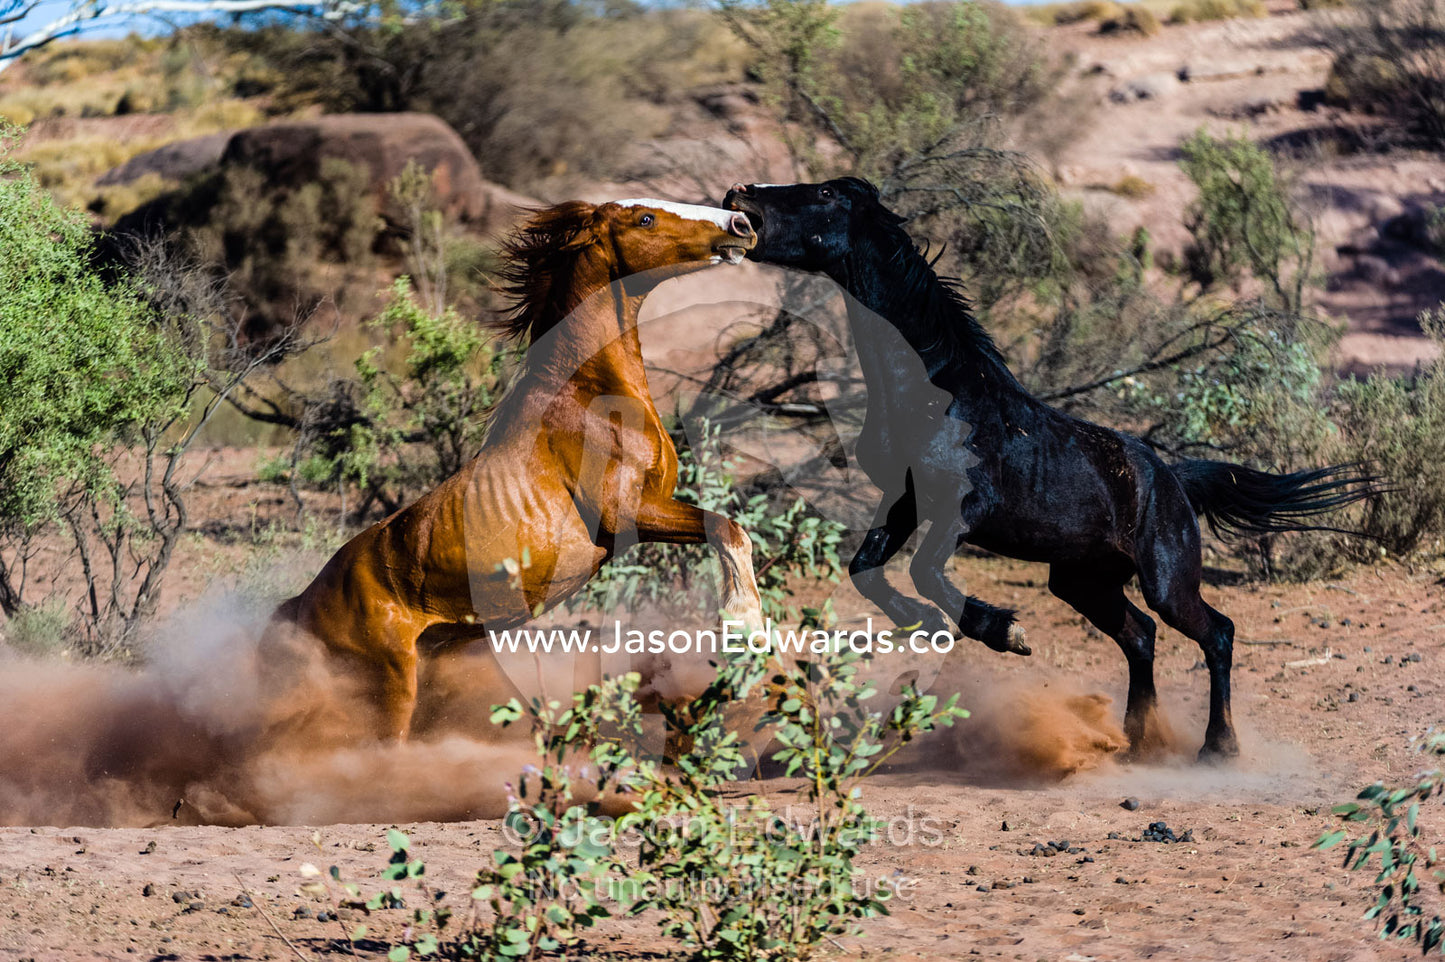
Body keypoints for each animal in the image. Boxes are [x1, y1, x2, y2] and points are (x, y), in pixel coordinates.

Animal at [261, 198, 762, 741]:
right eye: (644, 219)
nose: (742, 224)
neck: (590, 396)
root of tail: (300, 606)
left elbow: (733, 530)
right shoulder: (628, 512)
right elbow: (728, 530)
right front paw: (747, 634)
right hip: (389, 688)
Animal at [723, 178, 1378, 760]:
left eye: (825, 195)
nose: (740, 194)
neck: (935, 390)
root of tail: (1172, 478)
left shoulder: (963, 508)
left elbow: (924, 571)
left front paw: (1003, 632)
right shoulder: (903, 500)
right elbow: (868, 570)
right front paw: (930, 623)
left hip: (1166, 578)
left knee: (1214, 632)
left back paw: (1218, 748)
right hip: (1082, 581)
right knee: (1140, 636)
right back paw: (1137, 742)